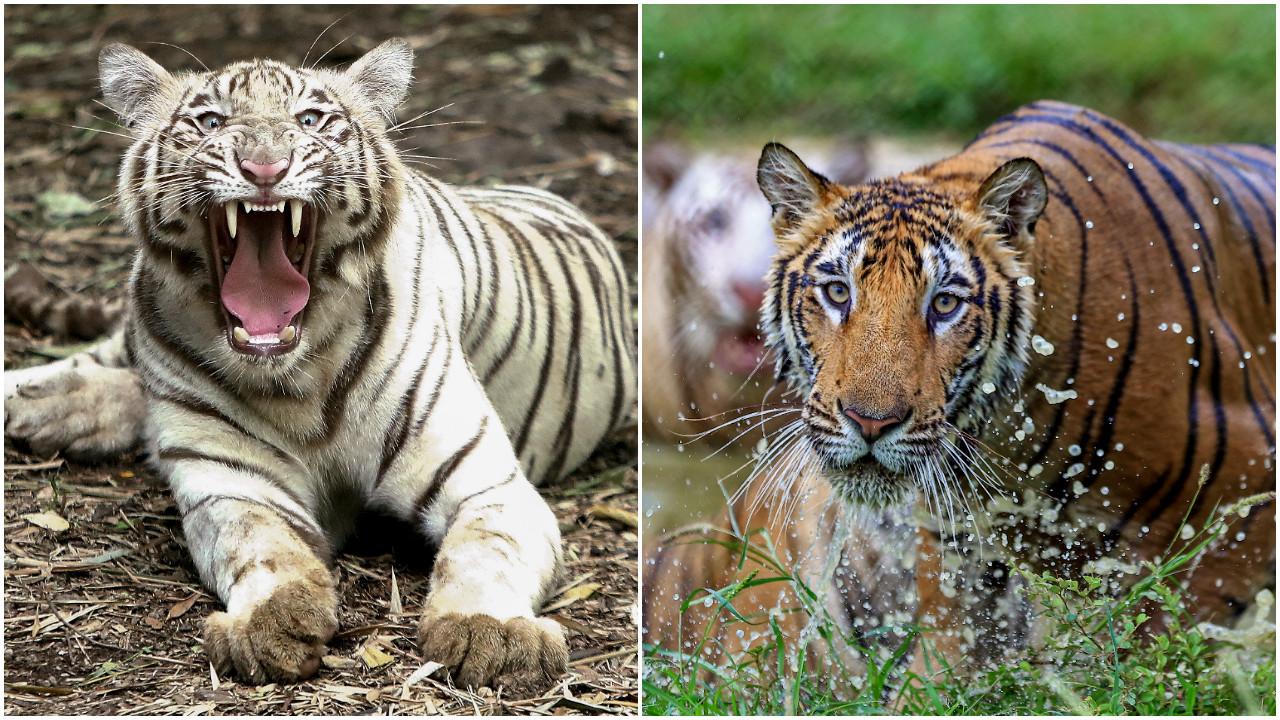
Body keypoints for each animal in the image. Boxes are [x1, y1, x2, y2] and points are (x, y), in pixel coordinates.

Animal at [3, 39, 636, 691]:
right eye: (211, 122)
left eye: (309, 120)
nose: (264, 168)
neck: (295, 380)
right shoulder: (231, 484)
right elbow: (259, 543)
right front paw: (273, 624)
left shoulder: (488, 483)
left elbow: (487, 547)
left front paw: (492, 634)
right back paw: (37, 403)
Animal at [643, 100, 1275, 686]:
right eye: (838, 292)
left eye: (944, 303)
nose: (870, 422)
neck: (1013, 435)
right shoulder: (959, 549)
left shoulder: (1241, 502)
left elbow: (1158, 649)